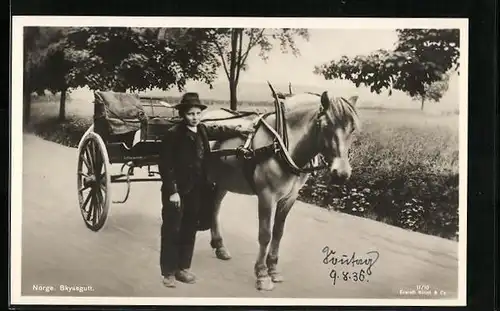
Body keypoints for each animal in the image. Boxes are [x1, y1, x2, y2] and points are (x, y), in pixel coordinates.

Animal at [199, 90, 360, 292]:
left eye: (353, 129)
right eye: (326, 126)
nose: (342, 173)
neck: (282, 145)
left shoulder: (289, 198)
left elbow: (278, 232)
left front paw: (273, 269)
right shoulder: (266, 196)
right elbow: (265, 234)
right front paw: (262, 274)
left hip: (222, 182)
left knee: (215, 207)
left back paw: (219, 246)